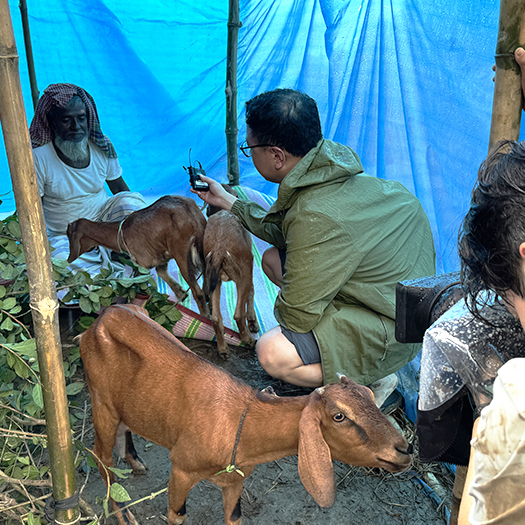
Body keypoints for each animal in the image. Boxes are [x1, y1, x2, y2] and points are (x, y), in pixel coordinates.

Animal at [64, 193, 206, 314]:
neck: (122, 232)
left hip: (182, 254)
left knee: (198, 293)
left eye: (69, 236)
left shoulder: (142, 264)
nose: (68, 260)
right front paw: (181, 293)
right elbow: (160, 271)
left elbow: (141, 288)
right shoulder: (160, 257)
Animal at [80, 302, 412, 524]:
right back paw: (122, 514)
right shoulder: (181, 469)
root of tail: (103, 317)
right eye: (339, 416)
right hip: (101, 402)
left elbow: (235, 517)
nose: (405, 449)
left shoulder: (235, 480)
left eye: (369, 395)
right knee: (102, 459)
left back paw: (135, 462)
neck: (240, 421)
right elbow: (177, 515)